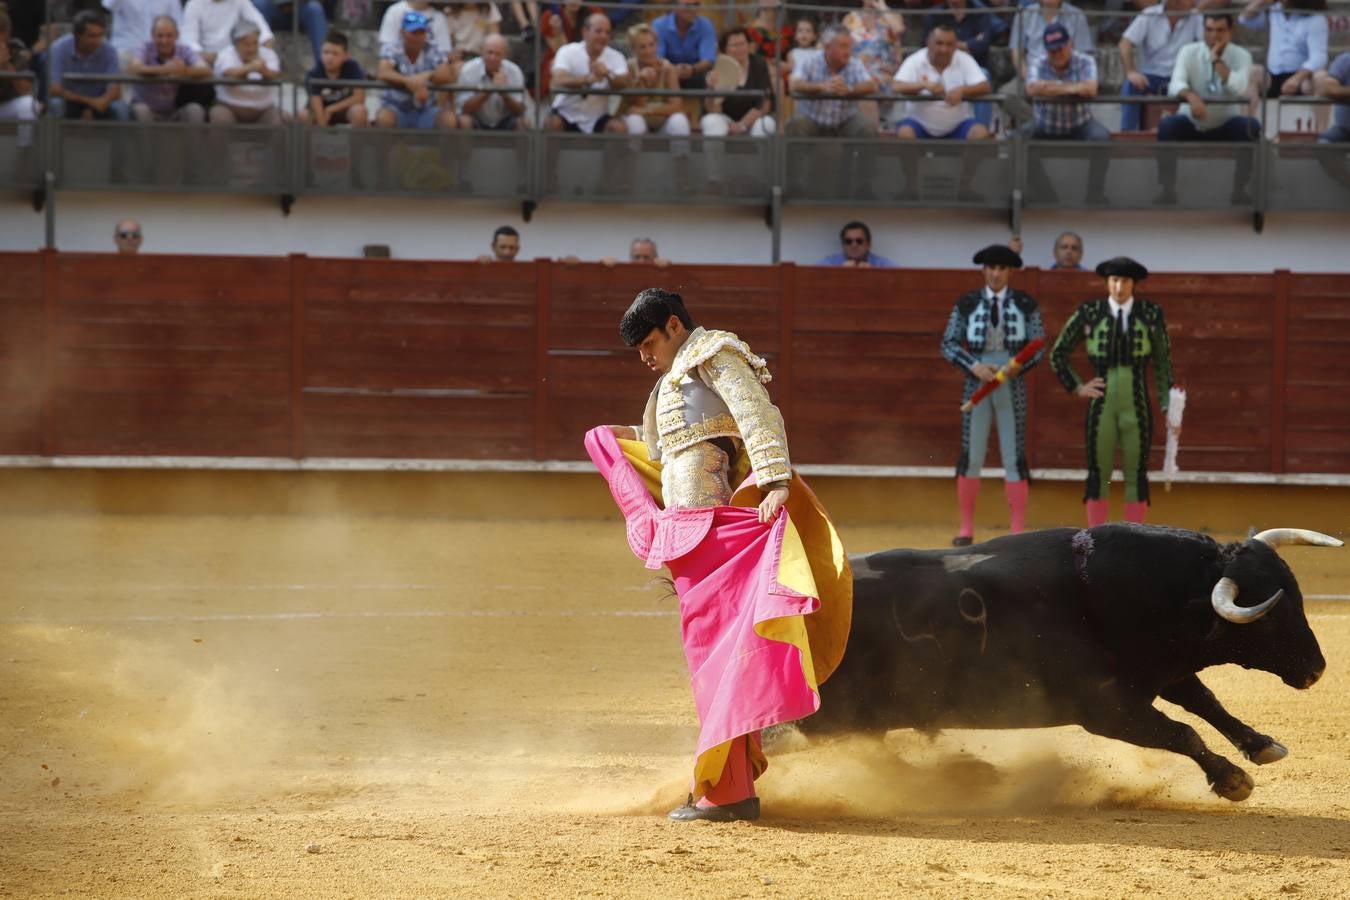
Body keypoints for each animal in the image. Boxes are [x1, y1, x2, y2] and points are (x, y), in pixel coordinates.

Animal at [799, 520, 1339, 804]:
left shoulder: (1157, 672)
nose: (1316, 670)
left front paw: (1263, 746)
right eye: (1266, 621)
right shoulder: (1105, 710)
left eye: (1297, 596)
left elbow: (1205, 701)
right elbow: (1182, 732)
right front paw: (1231, 780)